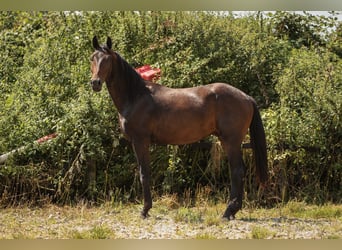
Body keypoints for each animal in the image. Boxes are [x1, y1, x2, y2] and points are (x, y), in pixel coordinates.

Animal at [89, 35, 268, 219]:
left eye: (107, 60)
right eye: (92, 58)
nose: (95, 83)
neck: (136, 96)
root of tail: (246, 97)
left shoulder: (140, 141)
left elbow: (144, 174)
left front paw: (145, 210)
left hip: (231, 141)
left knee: (237, 171)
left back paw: (228, 211)